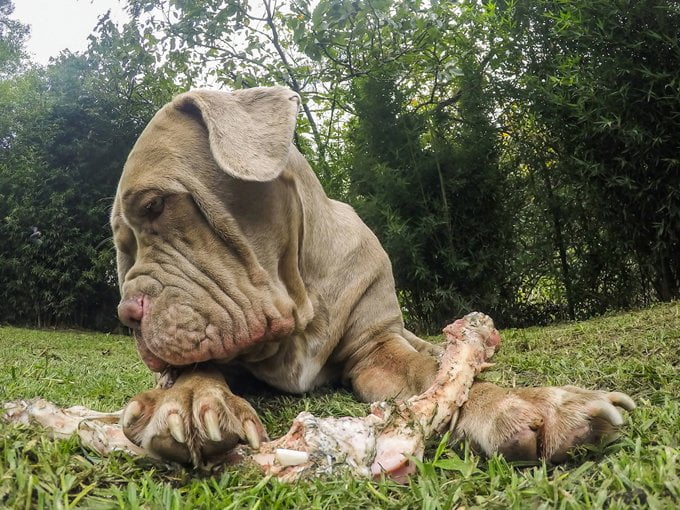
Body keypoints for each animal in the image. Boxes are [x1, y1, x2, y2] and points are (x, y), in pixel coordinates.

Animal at [109, 86, 636, 466]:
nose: (128, 315)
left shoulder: (376, 349)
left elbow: (434, 375)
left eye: (156, 205)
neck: (299, 299)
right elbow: (197, 368)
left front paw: (522, 403)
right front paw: (185, 403)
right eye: (122, 247)